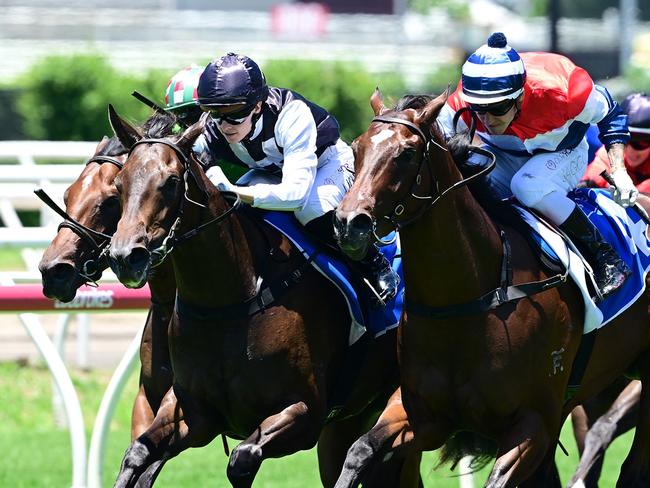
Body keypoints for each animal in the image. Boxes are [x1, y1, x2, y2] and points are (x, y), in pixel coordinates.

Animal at [106, 108, 420, 486]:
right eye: (119, 184)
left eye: (170, 182)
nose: (126, 256)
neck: (228, 301)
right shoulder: (194, 412)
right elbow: (136, 453)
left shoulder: (303, 413)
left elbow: (242, 458)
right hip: (350, 421)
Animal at [332, 89, 648, 486]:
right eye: (357, 147)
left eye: (405, 153)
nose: (349, 223)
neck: (463, 301)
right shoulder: (421, 414)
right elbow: (358, 451)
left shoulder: (533, 422)